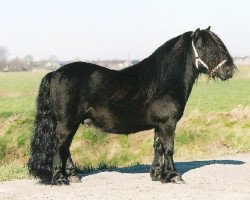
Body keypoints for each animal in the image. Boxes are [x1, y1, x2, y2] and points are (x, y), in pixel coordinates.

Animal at [28, 26, 235, 184]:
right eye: (209, 48)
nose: (229, 70)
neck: (164, 80)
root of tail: (55, 73)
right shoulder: (168, 124)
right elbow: (169, 148)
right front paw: (174, 176)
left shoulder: (159, 125)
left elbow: (158, 147)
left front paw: (157, 175)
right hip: (66, 123)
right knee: (59, 146)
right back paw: (60, 179)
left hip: (71, 123)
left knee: (65, 148)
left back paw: (72, 176)